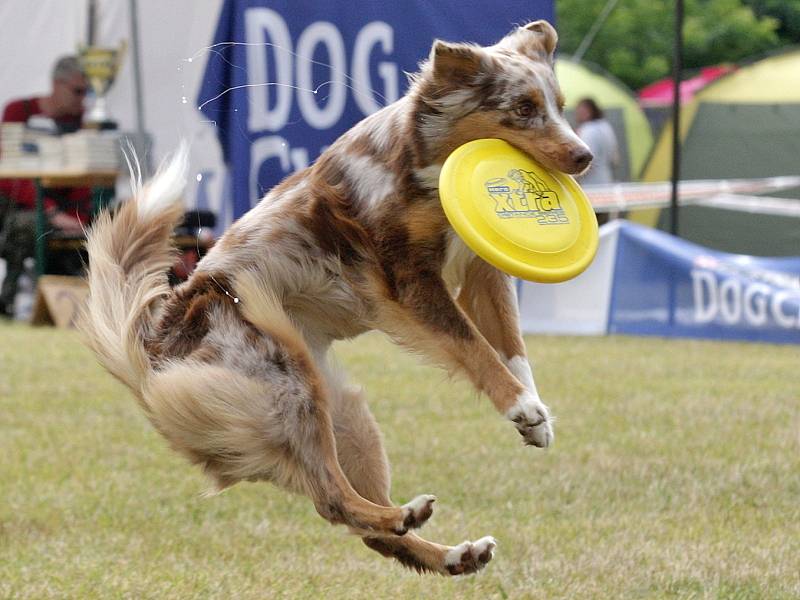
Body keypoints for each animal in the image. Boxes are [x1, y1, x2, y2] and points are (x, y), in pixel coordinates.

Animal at [81, 19, 592, 576]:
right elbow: (475, 348)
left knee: (363, 527)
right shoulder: (407, 281)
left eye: (559, 105)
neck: (420, 160)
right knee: (332, 499)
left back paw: (453, 553)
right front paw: (521, 406)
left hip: (345, 416)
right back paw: (404, 515)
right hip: (288, 386)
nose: (584, 156)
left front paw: (535, 416)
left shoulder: (481, 271)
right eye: (522, 108)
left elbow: (511, 347)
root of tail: (149, 348)